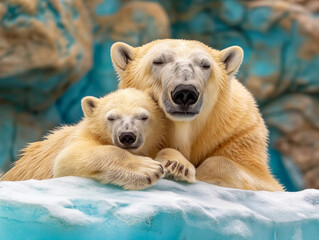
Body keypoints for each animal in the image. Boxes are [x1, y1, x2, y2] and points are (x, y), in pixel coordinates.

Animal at [1, 88, 168, 189]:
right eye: (111, 118)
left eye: (144, 117)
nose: (127, 136)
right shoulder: (83, 134)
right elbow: (67, 158)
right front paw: (150, 168)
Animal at [111, 40, 284, 192]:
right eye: (158, 61)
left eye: (205, 65)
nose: (185, 92)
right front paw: (175, 165)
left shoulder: (237, 134)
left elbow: (260, 179)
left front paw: (188, 170)